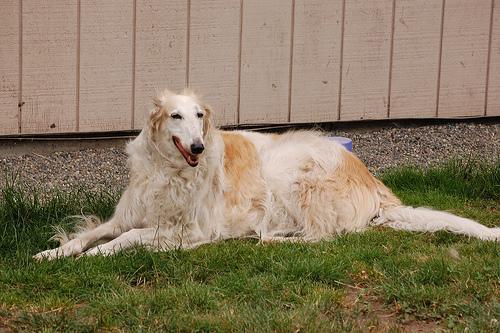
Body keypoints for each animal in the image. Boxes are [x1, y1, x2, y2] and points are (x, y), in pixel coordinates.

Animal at [34, 89, 496, 260]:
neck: (170, 172)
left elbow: (123, 241)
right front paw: (51, 254)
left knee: (322, 235)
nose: (198, 147)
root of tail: (372, 180)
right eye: (176, 116)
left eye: (199, 116)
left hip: (293, 179)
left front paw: (92, 258)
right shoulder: (128, 214)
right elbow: (91, 233)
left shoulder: (189, 231)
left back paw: (270, 238)